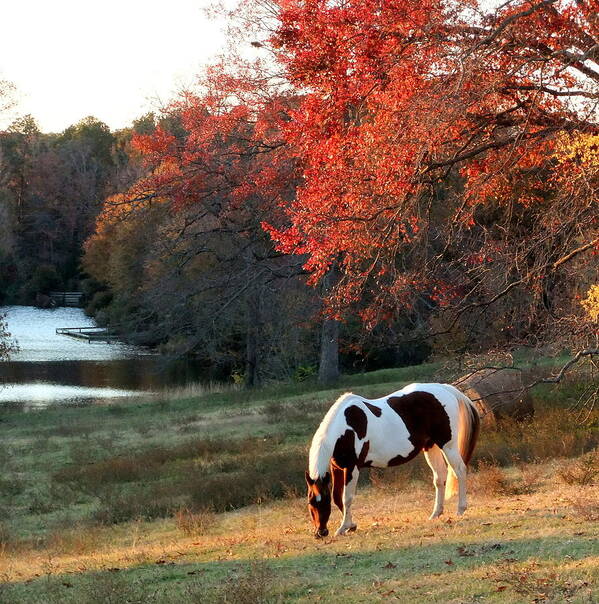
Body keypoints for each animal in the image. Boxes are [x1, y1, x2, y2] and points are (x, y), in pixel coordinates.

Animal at [308, 382, 480, 536]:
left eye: (323, 502)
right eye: (310, 503)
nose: (320, 532)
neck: (346, 429)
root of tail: (444, 388)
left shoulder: (352, 468)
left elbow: (347, 498)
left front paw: (344, 527)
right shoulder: (337, 467)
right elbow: (337, 497)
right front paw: (351, 526)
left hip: (448, 445)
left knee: (459, 470)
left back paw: (460, 509)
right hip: (430, 446)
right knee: (439, 477)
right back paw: (436, 513)